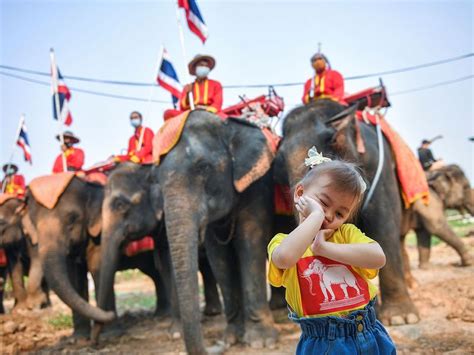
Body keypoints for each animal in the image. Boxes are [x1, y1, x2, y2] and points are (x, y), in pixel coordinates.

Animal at [24, 175, 172, 340]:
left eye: (72, 219)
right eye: (34, 223)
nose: (110, 314)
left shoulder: (99, 234)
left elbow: (98, 269)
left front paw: (110, 335)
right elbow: (74, 276)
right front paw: (78, 339)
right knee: (154, 273)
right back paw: (161, 313)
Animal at [137, 110, 278, 354]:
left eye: (203, 168)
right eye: (156, 180)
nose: (217, 346)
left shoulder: (257, 186)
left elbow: (250, 243)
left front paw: (261, 342)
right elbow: (218, 257)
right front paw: (231, 338)